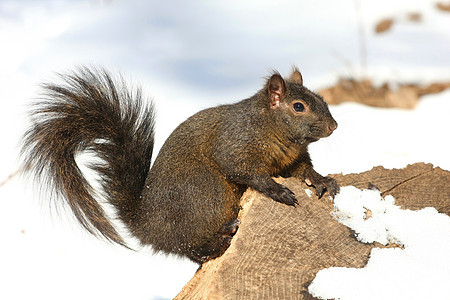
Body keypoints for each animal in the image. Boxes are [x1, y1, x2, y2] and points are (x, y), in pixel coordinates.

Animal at [21, 67, 338, 264]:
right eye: (298, 107)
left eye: (321, 98)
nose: (334, 126)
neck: (273, 128)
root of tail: (147, 226)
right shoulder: (234, 144)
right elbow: (244, 170)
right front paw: (277, 191)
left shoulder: (294, 159)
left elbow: (303, 170)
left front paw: (322, 180)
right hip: (206, 194)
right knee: (189, 246)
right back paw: (220, 240)